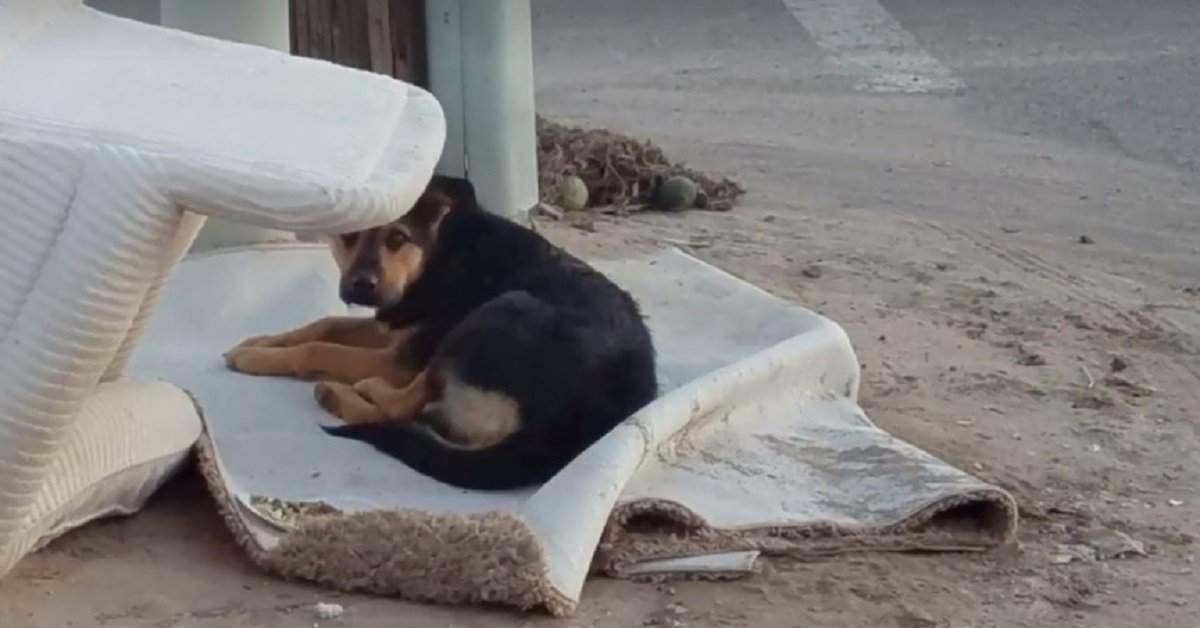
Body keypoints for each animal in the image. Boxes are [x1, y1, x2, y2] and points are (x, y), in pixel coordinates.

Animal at [223, 175, 657, 492]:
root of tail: (566, 429)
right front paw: (261, 343)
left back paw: (346, 392)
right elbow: (324, 324)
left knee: (404, 405)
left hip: (498, 313)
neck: (435, 253)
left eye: (397, 238)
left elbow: (320, 348)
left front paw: (256, 358)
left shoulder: (400, 358)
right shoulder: (395, 326)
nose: (361, 286)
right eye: (348, 237)